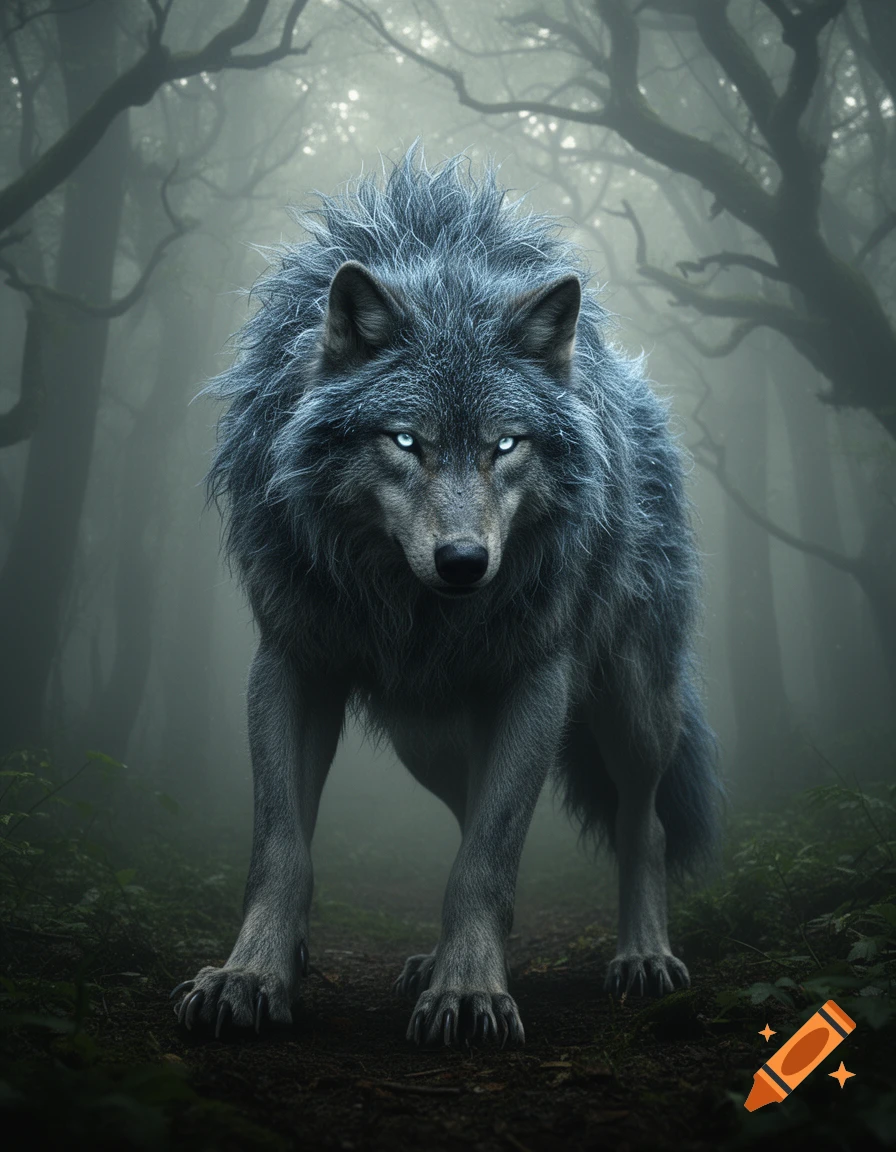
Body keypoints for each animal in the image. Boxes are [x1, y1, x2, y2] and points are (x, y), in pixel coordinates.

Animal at [172, 149, 720, 1047]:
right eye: (406, 441)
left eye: (506, 444)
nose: (464, 561)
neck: (414, 610)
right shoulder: (292, 664)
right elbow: (281, 848)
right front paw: (250, 976)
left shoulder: (537, 680)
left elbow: (487, 860)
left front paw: (467, 993)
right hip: (422, 738)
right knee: (467, 806)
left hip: (633, 705)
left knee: (645, 824)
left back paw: (642, 957)